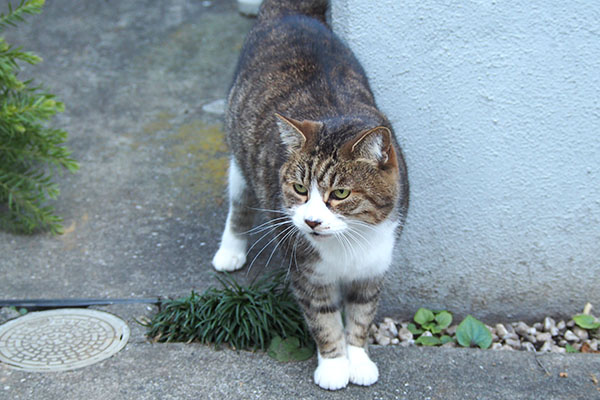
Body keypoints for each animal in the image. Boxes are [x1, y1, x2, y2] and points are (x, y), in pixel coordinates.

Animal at [210, 0, 408, 390]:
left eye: (340, 193)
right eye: (300, 189)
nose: (312, 221)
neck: (350, 241)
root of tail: (291, 14)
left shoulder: (374, 266)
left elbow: (361, 315)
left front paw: (358, 360)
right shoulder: (306, 272)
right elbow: (324, 319)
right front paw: (333, 366)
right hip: (240, 154)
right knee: (239, 203)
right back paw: (230, 250)